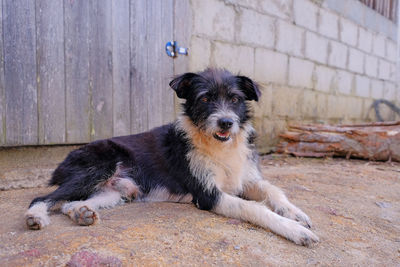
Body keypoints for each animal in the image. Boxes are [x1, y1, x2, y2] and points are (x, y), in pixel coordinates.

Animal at [25, 68, 318, 247]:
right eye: (205, 98)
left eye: (235, 99)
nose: (226, 122)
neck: (217, 145)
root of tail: (64, 159)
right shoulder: (208, 195)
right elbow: (253, 208)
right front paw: (296, 231)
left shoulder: (247, 178)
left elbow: (273, 190)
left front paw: (295, 213)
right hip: (98, 168)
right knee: (42, 197)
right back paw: (36, 218)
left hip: (118, 191)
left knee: (68, 203)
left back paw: (81, 213)